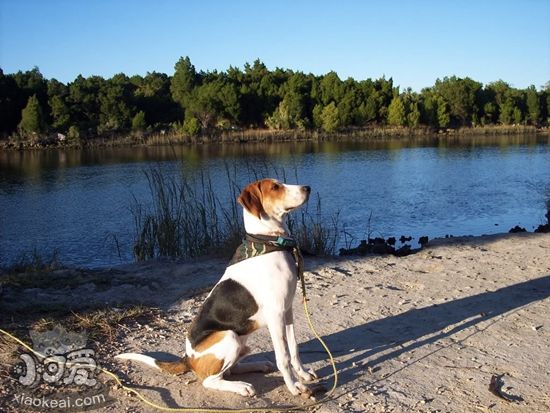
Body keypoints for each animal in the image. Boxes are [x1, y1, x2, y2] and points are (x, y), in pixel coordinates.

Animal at [116, 179, 316, 398]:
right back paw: (241, 386)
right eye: (275, 187)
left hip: (241, 341)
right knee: (210, 380)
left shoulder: (287, 311)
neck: (268, 241)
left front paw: (303, 374)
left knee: (229, 370)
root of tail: (187, 358)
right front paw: (294, 386)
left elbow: (294, 349)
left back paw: (256, 366)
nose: (308, 188)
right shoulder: (276, 315)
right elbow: (284, 357)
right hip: (229, 336)